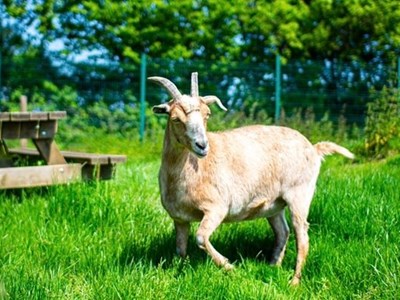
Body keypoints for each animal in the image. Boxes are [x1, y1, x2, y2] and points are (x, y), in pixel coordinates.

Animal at [148, 71, 354, 284]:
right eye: (175, 119)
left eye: (207, 115)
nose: (202, 146)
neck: (189, 171)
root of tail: (314, 148)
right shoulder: (179, 219)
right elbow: (180, 250)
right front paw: (177, 275)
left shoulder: (217, 208)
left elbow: (201, 237)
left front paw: (230, 267)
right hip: (274, 204)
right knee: (283, 231)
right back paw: (273, 267)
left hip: (300, 193)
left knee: (302, 235)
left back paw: (294, 282)